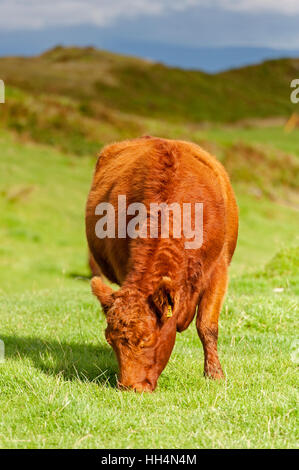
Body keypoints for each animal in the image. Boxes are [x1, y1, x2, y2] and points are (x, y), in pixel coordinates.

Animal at [86, 137, 239, 392]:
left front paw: (215, 374)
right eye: (110, 340)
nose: (130, 387)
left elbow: (207, 326)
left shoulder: (219, 271)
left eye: (147, 339)